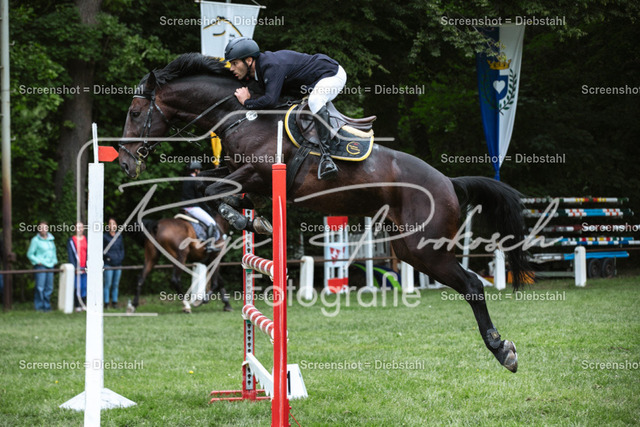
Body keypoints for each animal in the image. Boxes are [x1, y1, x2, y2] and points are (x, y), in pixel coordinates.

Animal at [118, 53, 530, 372]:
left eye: (136, 112)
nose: (124, 162)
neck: (241, 115)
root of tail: (447, 181)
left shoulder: (259, 173)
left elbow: (214, 190)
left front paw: (245, 219)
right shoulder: (244, 177)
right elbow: (213, 188)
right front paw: (252, 218)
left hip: (425, 249)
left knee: (473, 285)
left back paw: (502, 350)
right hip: (410, 248)